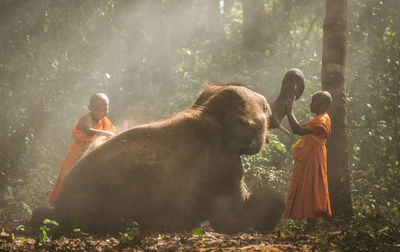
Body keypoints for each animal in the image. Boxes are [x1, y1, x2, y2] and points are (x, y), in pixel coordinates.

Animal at [34, 68, 304, 233]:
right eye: (266, 108)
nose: (295, 78)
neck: (206, 109)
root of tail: (59, 209)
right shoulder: (220, 164)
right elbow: (230, 218)